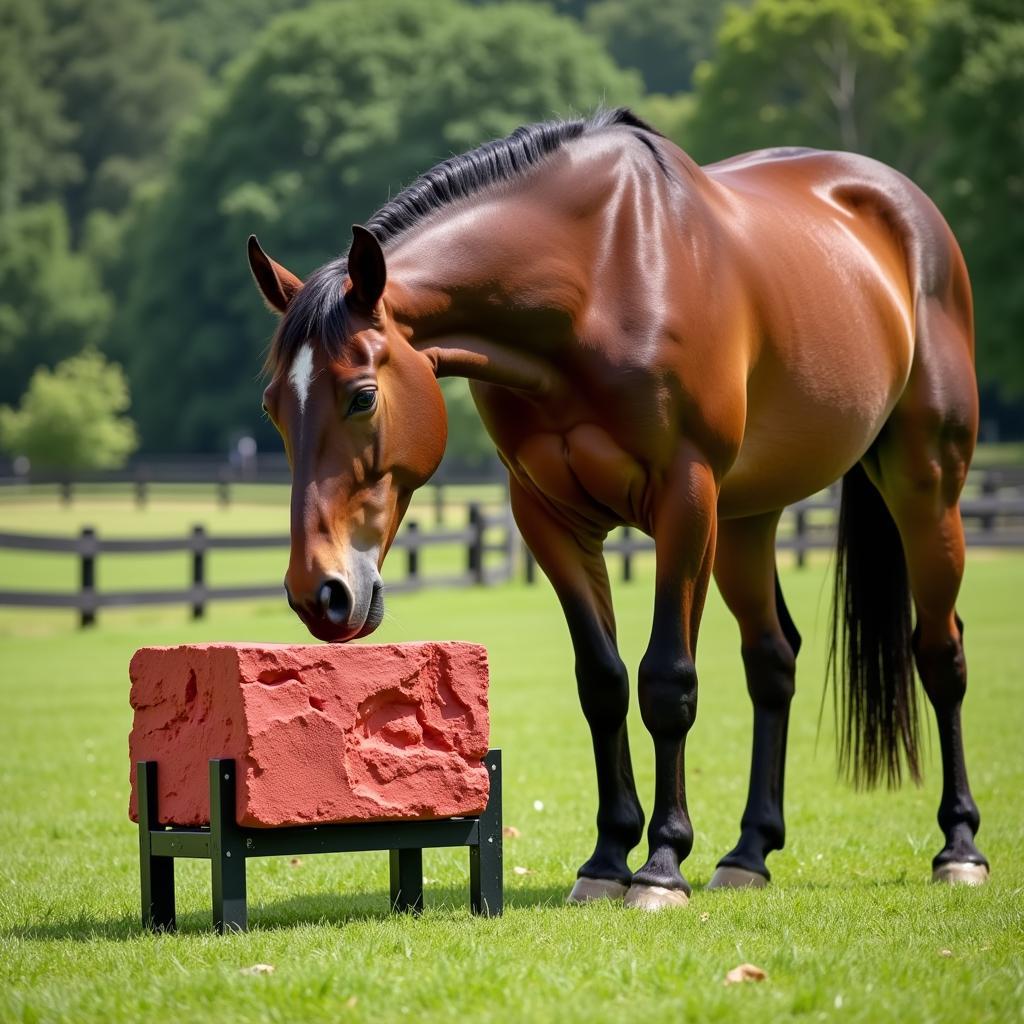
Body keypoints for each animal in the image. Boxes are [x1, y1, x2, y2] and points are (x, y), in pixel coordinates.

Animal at [249, 110, 991, 913]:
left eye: (362, 396)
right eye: (274, 409)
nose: (320, 593)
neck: (598, 281)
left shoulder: (684, 499)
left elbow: (667, 681)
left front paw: (661, 864)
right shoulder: (549, 516)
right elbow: (602, 683)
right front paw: (607, 859)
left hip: (924, 487)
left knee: (940, 652)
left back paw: (959, 847)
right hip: (746, 521)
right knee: (773, 660)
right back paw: (749, 853)